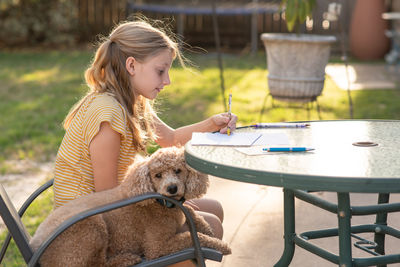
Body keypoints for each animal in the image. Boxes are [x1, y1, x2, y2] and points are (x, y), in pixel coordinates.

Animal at [29, 148, 231, 267]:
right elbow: (190, 236)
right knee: (97, 265)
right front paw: (221, 245)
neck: (161, 203)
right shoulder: (157, 247)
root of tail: (34, 245)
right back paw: (127, 259)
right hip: (92, 226)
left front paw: (206, 227)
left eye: (178, 171)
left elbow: (191, 213)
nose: (172, 188)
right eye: (157, 175)